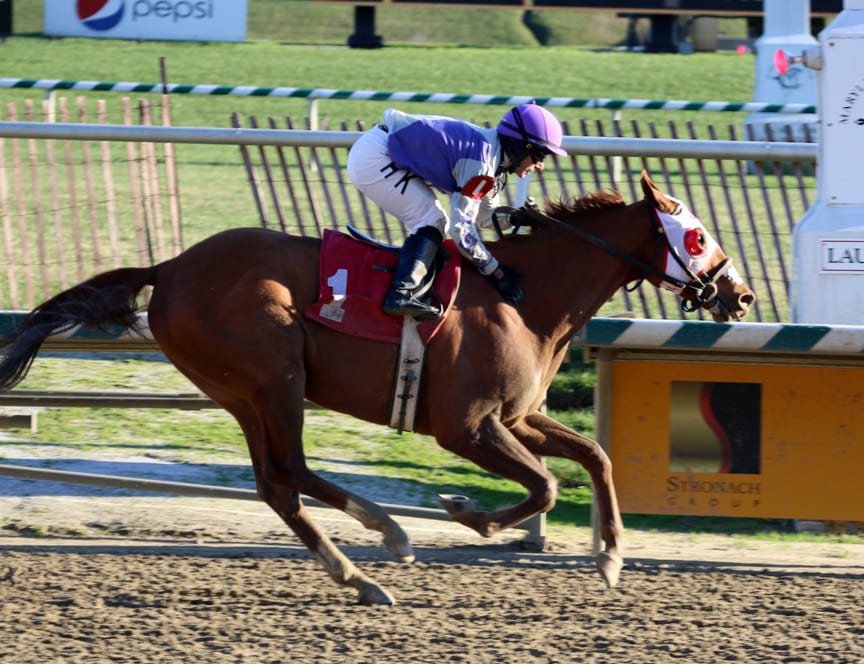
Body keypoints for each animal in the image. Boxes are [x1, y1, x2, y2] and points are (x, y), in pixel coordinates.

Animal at [0, 171, 756, 608]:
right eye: (695, 234)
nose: (741, 293)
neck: (524, 295)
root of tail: (172, 266)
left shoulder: (518, 417)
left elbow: (594, 457)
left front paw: (610, 558)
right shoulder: (466, 426)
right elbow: (543, 486)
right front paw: (466, 512)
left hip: (238, 392)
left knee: (276, 483)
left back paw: (359, 574)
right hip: (274, 375)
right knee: (291, 469)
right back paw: (386, 535)